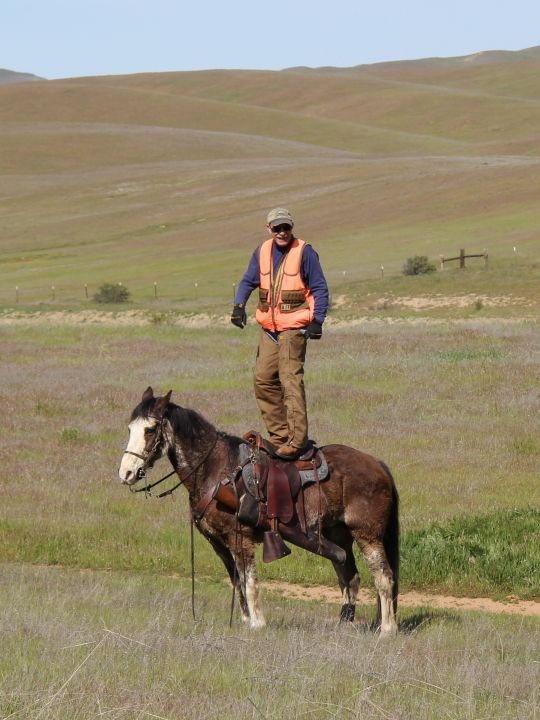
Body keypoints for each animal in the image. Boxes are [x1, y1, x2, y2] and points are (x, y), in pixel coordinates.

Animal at [119, 388, 400, 636]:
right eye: (131, 429)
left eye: (150, 430)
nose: (126, 473)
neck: (215, 471)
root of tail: (378, 465)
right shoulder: (218, 543)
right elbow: (236, 581)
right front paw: (245, 621)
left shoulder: (239, 538)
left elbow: (250, 581)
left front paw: (257, 624)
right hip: (337, 537)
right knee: (349, 577)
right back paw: (346, 626)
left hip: (367, 535)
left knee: (384, 577)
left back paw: (387, 629)